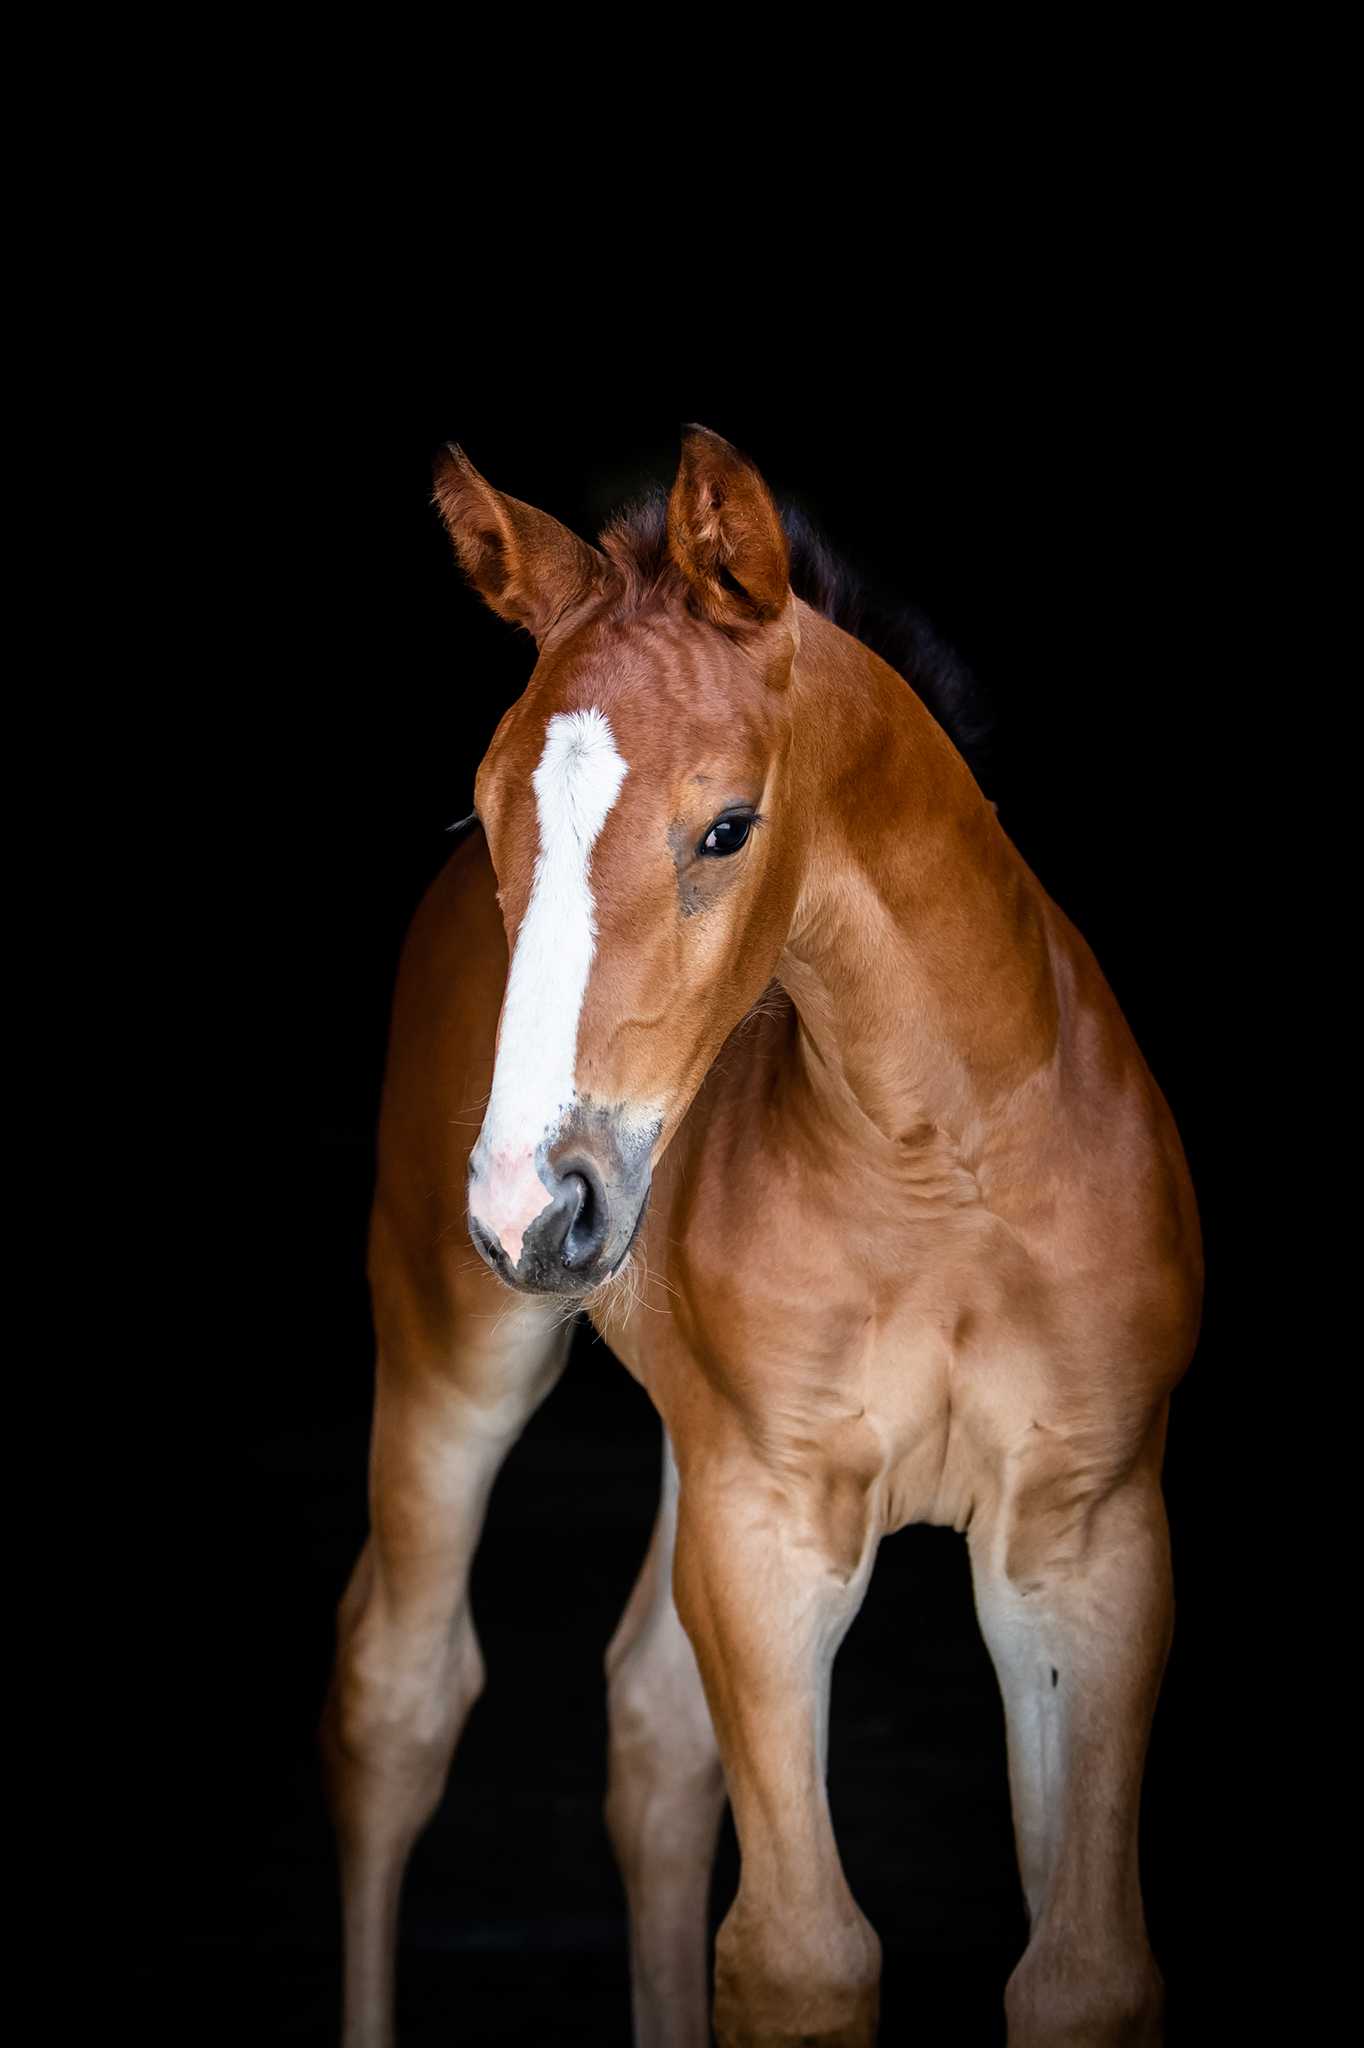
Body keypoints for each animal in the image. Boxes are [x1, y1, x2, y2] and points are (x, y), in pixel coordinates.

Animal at [320, 424, 1203, 2047]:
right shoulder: (773, 1526)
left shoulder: (1087, 1537)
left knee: (654, 1728)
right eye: (487, 817)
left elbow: (1085, 1971)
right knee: (397, 1692)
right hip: (452, 1340)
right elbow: (800, 1954)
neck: (943, 1166)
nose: (534, 1206)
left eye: (726, 829)